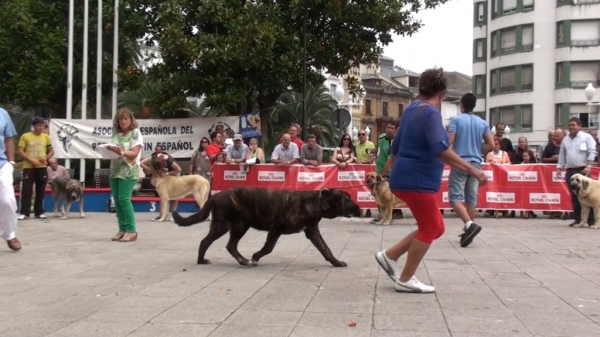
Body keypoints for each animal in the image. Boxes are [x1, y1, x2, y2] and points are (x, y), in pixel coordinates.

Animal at [173, 186, 360, 266]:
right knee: (206, 242)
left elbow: (326, 250)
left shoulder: (312, 232)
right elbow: (269, 247)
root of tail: (215, 196)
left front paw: (336, 262)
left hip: (239, 225)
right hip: (226, 225)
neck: (317, 203)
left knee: (230, 245)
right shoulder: (276, 228)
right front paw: (256, 256)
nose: (358, 207)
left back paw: (242, 261)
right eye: (348, 198)